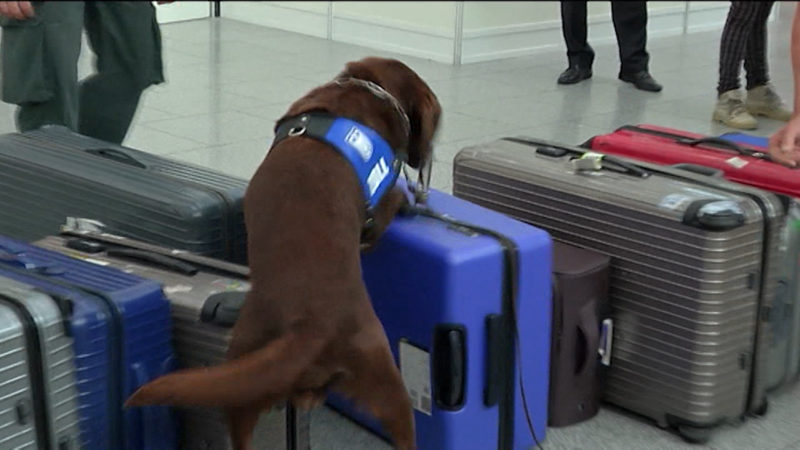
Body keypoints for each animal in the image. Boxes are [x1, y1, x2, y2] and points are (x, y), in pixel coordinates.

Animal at [123, 57, 444, 450]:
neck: (368, 90)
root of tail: (310, 328)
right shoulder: (376, 215)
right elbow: (394, 197)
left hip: (243, 378)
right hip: (388, 383)